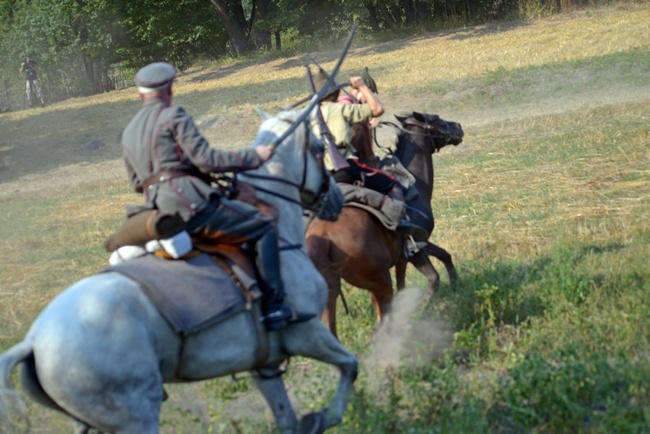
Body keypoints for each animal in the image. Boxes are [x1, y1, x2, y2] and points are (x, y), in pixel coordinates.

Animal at [0, 109, 354, 434]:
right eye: (319, 149)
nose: (337, 199)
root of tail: (33, 341)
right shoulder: (308, 334)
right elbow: (349, 367)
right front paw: (323, 417)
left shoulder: (265, 365)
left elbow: (287, 420)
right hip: (136, 418)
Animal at [304, 112, 460, 340]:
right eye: (435, 118)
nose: (458, 127)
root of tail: (324, 238)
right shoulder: (415, 250)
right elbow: (432, 279)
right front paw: (420, 308)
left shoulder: (415, 247)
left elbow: (444, 255)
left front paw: (456, 282)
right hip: (380, 281)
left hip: (332, 290)